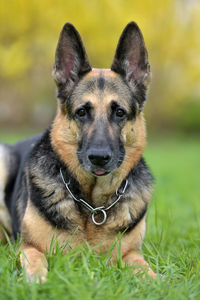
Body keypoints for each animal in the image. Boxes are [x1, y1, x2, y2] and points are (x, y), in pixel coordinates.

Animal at [0, 21, 155, 282]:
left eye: (119, 113)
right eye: (82, 112)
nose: (99, 158)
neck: (94, 206)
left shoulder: (131, 254)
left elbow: (149, 273)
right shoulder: (29, 247)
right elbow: (36, 261)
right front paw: (37, 282)